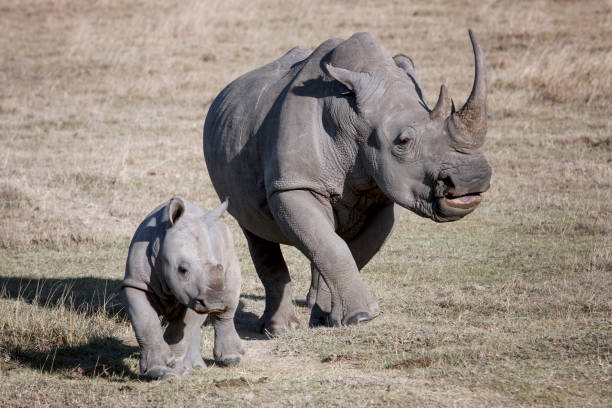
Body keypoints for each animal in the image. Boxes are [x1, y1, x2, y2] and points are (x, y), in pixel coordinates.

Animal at [120, 197, 243, 380]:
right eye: (182, 269)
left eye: (219, 267)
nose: (215, 302)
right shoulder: (136, 283)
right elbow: (146, 324)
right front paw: (162, 370)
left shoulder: (195, 296)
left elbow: (180, 332)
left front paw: (174, 368)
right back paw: (196, 366)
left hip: (228, 245)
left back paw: (231, 359)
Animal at [204, 29, 492, 334]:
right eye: (402, 141)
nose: (472, 180)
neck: (353, 122)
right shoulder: (293, 184)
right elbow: (334, 248)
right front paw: (363, 317)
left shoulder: (384, 198)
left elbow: (347, 250)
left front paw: (328, 319)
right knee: (255, 230)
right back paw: (280, 330)